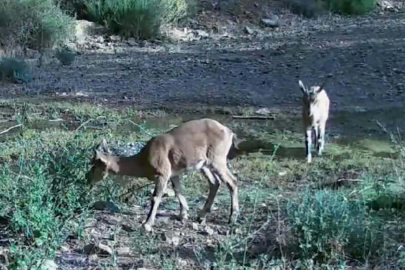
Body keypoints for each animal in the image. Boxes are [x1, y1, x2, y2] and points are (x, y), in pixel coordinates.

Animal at [85, 118, 237, 232]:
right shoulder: (174, 174)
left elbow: (155, 197)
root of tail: (229, 132)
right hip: (205, 164)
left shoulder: (162, 173)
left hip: (218, 159)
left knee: (232, 181)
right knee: (215, 182)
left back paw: (232, 218)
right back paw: (201, 216)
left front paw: (146, 224)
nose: (87, 179)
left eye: (94, 166)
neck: (143, 161)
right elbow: (178, 191)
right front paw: (183, 215)